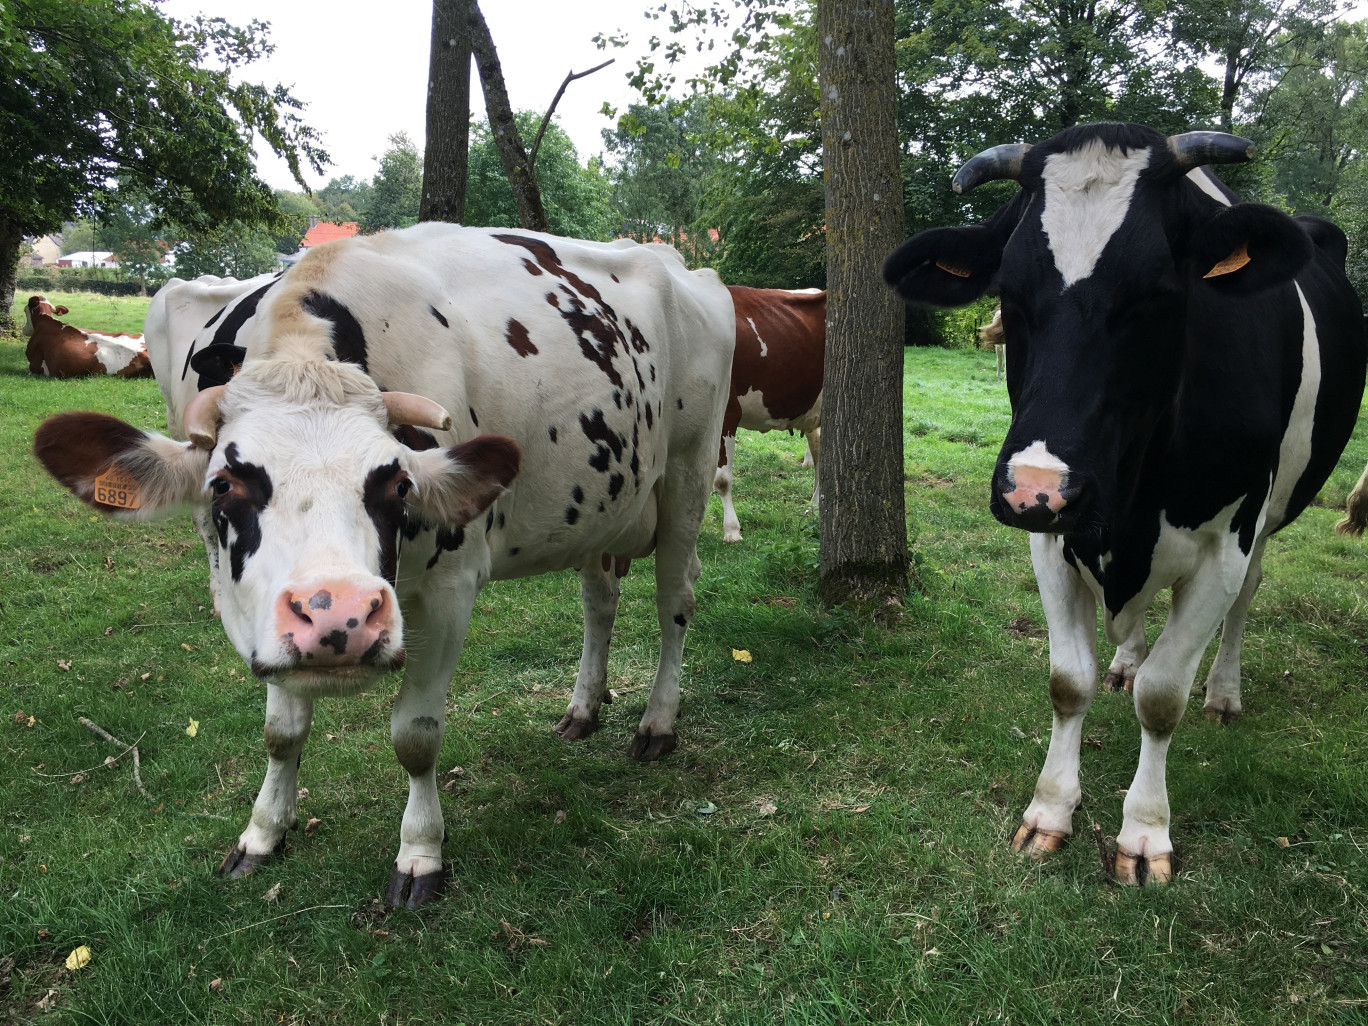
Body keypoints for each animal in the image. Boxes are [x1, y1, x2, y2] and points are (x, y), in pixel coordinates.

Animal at [34, 222, 738, 908]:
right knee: (599, 601)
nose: (338, 615)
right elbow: (281, 730)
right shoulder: (255, 610)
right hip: (599, 510)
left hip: (689, 472)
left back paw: (658, 721)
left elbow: (416, 735)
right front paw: (263, 832)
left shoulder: (449, 589)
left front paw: (421, 852)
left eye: (398, 484)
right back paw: (584, 707)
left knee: (675, 602)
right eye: (223, 484)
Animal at [880, 126, 1362, 886]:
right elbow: (1066, 682)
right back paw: (1126, 658)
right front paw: (1050, 810)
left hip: (1269, 517)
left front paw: (1145, 832)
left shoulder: (1226, 542)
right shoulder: (1051, 537)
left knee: (1247, 597)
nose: (1036, 485)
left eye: (1158, 294)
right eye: (1010, 294)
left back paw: (1223, 690)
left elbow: (1163, 697)